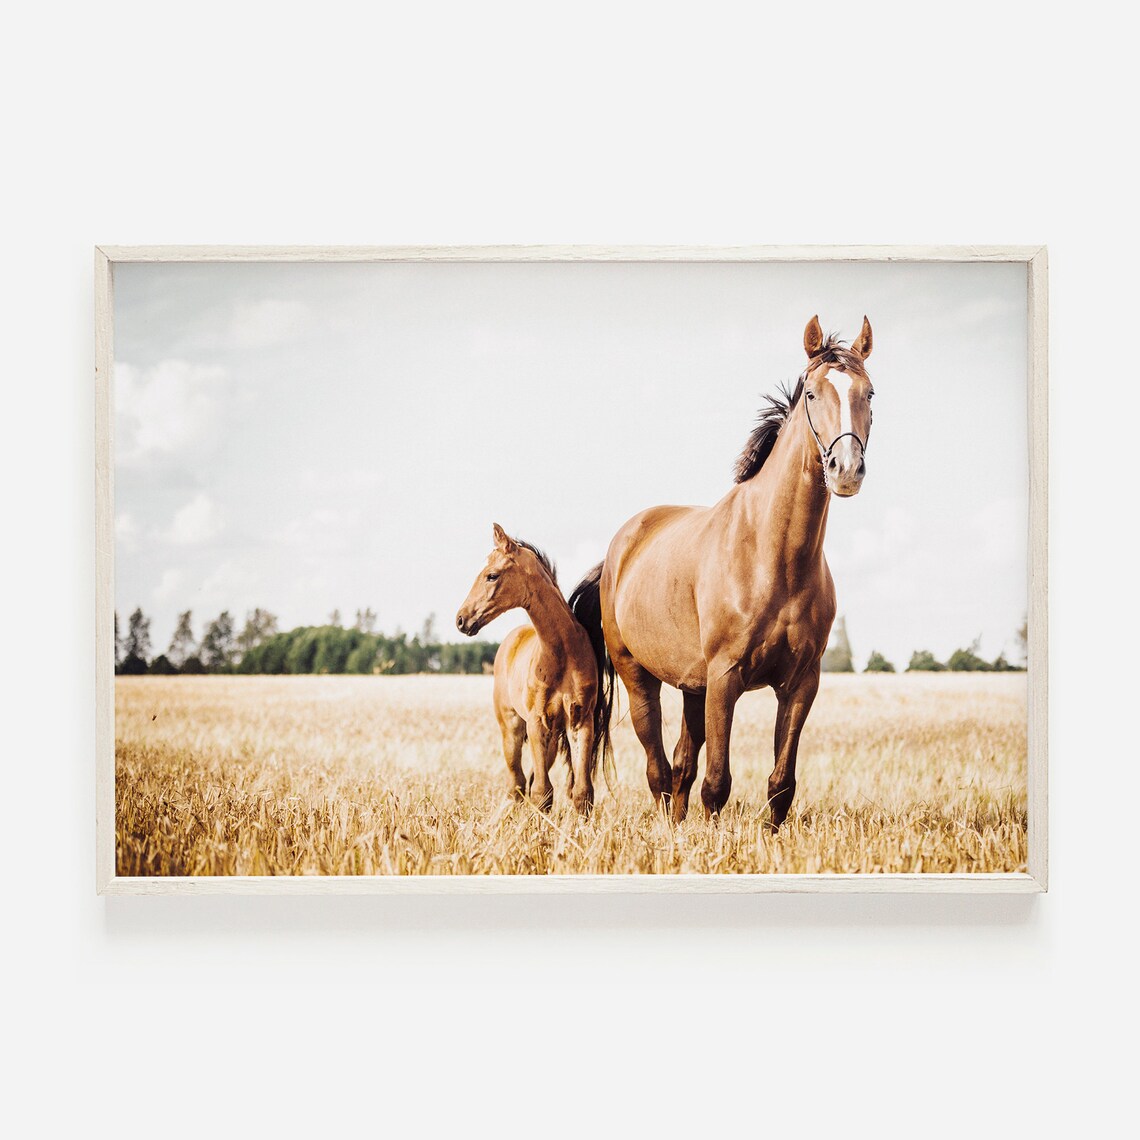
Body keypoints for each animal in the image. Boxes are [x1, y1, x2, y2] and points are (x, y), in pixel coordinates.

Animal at [456, 523, 612, 814]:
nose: (461, 619)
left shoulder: (580, 721)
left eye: (492, 575)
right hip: (512, 728)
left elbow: (581, 792)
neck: (561, 654)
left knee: (526, 781)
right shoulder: (537, 722)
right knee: (516, 783)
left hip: (549, 738)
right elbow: (542, 793)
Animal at [570, 316, 874, 826]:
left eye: (869, 393)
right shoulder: (726, 677)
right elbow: (717, 783)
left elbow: (780, 784)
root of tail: (616, 553)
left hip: (694, 686)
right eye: (812, 394)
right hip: (641, 678)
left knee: (679, 766)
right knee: (658, 768)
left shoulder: (801, 684)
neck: (774, 558)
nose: (846, 469)